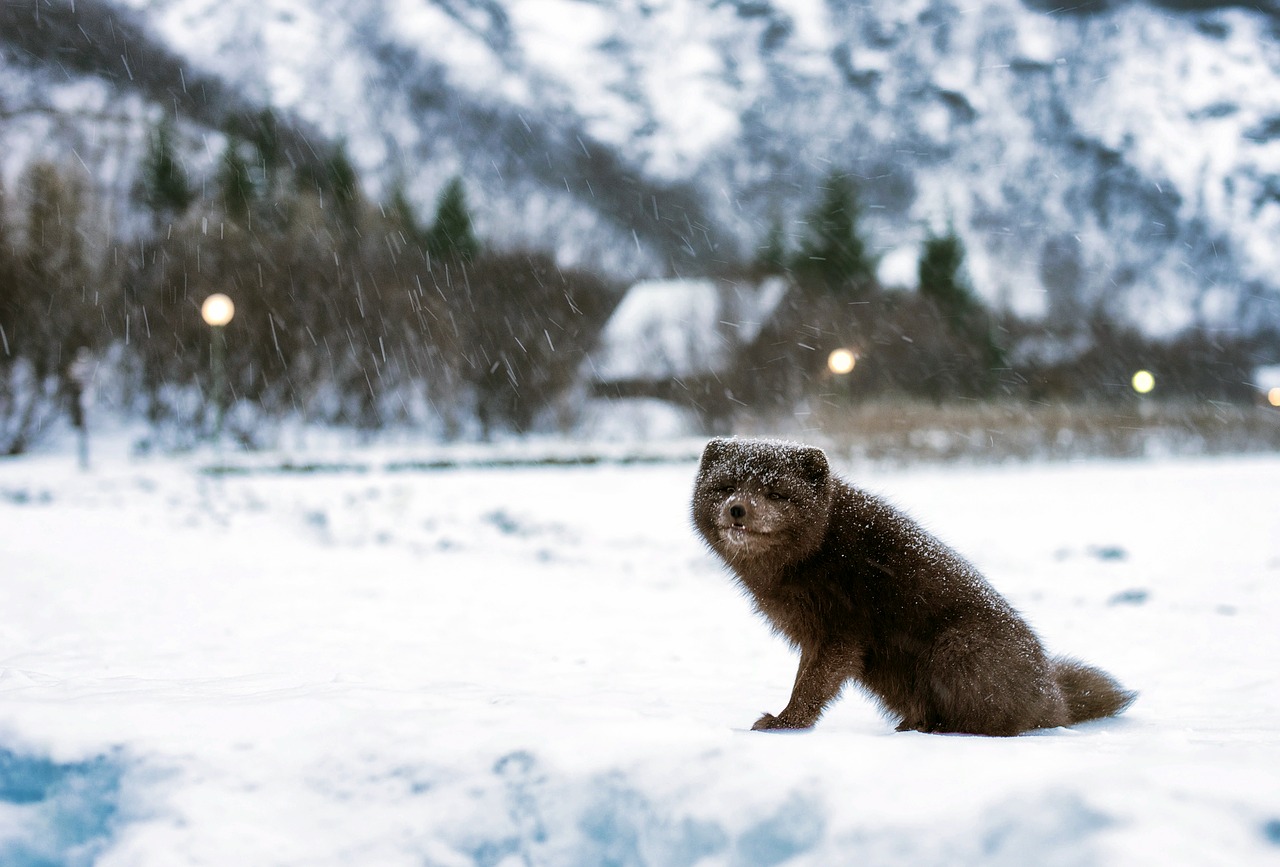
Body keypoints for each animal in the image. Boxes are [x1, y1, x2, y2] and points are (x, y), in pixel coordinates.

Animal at [696, 435, 1136, 732]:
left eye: (776, 493)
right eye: (725, 487)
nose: (737, 509)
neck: (820, 548)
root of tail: (1054, 694)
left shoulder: (840, 629)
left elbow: (813, 685)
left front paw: (784, 724)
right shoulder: (813, 634)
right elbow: (806, 678)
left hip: (957, 646)